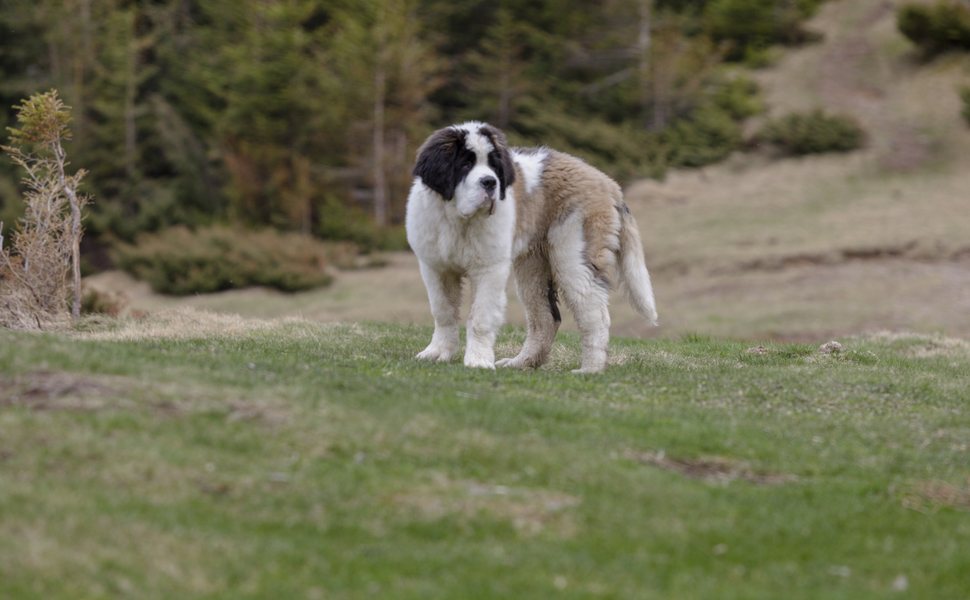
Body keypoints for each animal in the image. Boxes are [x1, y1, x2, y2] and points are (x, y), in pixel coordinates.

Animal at [400, 122, 656, 372]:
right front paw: (437, 353)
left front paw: (478, 361)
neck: (458, 220)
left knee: (594, 314)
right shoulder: (435, 268)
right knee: (545, 318)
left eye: (493, 166)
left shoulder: (489, 269)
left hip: (574, 256)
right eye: (465, 164)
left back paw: (590, 369)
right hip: (532, 267)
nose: (490, 182)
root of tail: (609, 183)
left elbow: (481, 316)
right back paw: (522, 363)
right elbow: (443, 311)